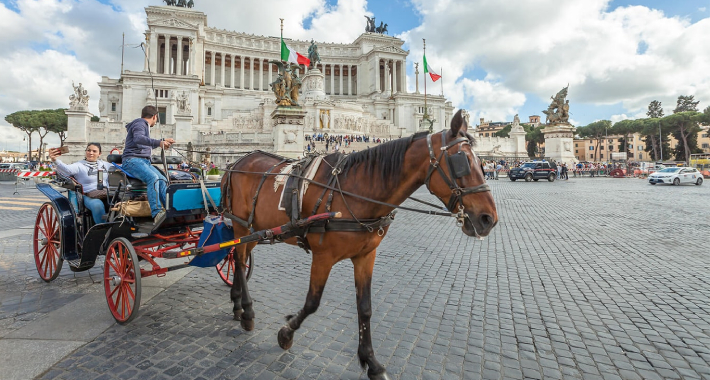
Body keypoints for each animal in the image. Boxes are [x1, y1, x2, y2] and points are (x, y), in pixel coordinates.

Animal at [222, 108, 500, 378]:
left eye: (481, 163)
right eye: (462, 162)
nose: (488, 219)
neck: (356, 191)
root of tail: (236, 162)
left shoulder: (366, 256)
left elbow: (365, 308)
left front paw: (371, 362)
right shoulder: (323, 257)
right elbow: (312, 302)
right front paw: (285, 333)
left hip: (256, 229)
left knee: (238, 257)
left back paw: (236, 304)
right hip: (241, 224)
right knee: (239, 260)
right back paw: (247, 311)